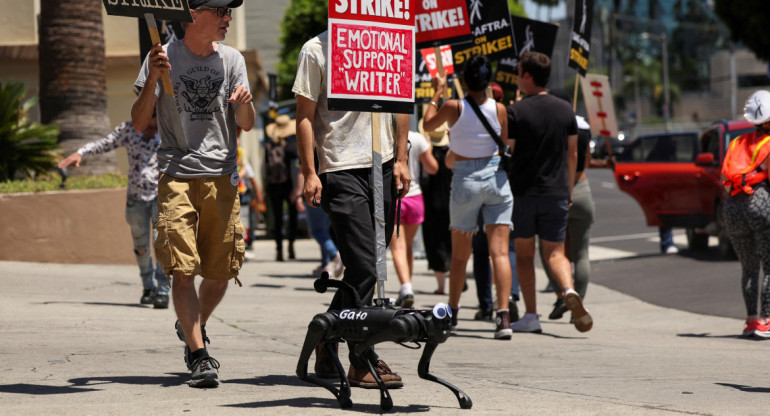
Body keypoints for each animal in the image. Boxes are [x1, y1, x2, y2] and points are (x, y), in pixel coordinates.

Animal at [296, 272, 472, 412]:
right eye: (442, 316)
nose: (448, 326)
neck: (417, 320)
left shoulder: (431, 341)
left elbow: (423, 371)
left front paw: (463, 398)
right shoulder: (388, 331)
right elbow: (360, 352)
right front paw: (385, 400)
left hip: (332, 334)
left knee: (327, 347)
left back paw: (344, 390)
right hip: (321, 325)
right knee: (302, 369)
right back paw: (342, 397)